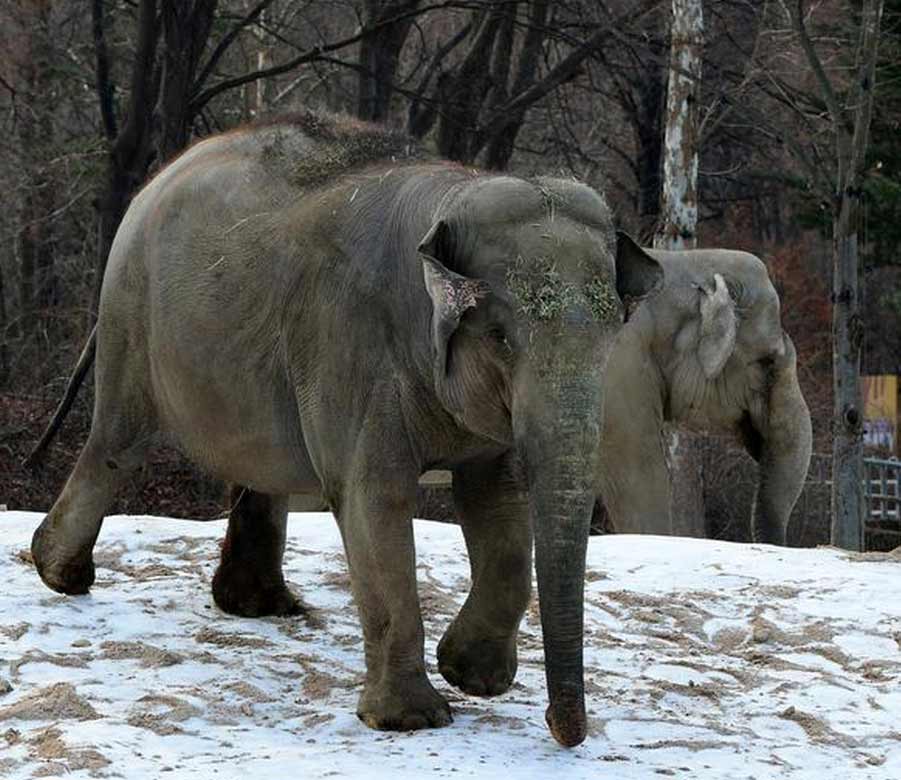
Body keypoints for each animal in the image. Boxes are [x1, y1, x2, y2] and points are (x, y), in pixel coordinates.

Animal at [28, 111, 660, 748]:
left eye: (612, 335)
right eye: (500, 337)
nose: (563, 728)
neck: (452, 196)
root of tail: (158, 177)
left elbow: (497, 500)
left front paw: (471, 677)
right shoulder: (348, 342)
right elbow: (374, 499)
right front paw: (412, 719)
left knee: (260, 465)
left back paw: (257, 605)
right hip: (132, 316)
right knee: (117, 443)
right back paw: (61, 574)